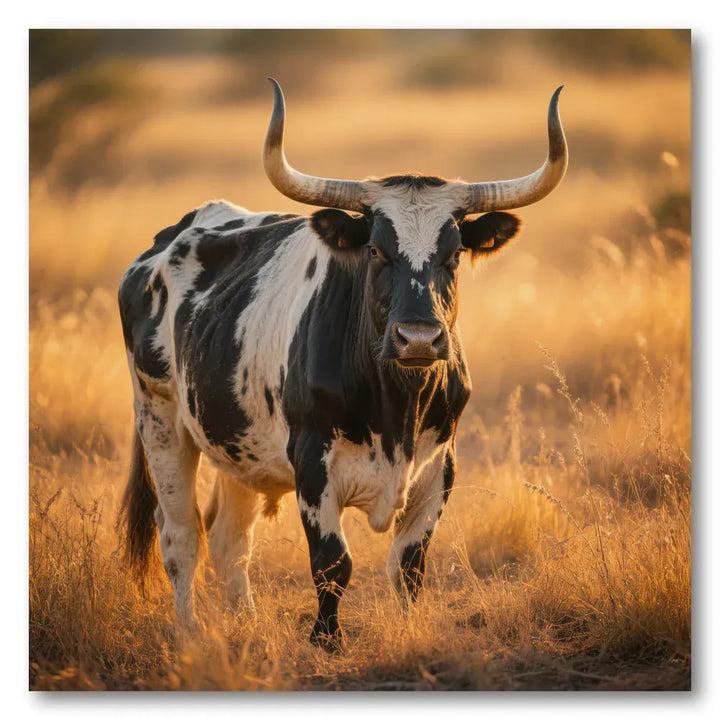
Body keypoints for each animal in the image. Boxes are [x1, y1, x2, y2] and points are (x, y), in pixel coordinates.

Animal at [118, 79, 567, 650]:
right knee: (180, 538)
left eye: (454, 254)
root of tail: (165, 243)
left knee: (228, 541)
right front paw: (325, 641)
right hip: (159, 419)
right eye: (376, 250)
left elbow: (409, 565)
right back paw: (191, 634)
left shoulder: (439, 466)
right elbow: (333, 563)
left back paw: (246, 626)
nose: (418, 337)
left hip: (236, 444)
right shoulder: (313, 465)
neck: (397, 407)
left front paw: (410, 630)